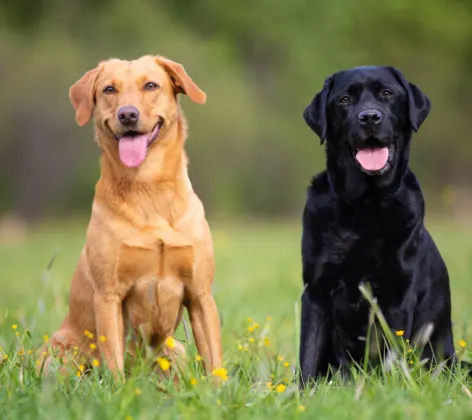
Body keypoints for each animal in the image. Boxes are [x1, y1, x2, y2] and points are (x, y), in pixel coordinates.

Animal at [37, 54, 222, 378]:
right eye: (109, 89)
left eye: (151, 85)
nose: (127, 115)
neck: (148, 188)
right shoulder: (109, 295)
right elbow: (114, 361)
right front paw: (118, 388)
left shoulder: (200, 293)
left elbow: (214, 361)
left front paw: (219, 389)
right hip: (57, 354)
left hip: (176, 350)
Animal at [300, 66, 460, 388]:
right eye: (345, 99)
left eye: (387, 94)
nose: (370, 117)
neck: (364, 207)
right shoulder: (315, 292)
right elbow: (307, 357)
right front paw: (301, 394)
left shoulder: (397, 295)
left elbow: (391, 354)